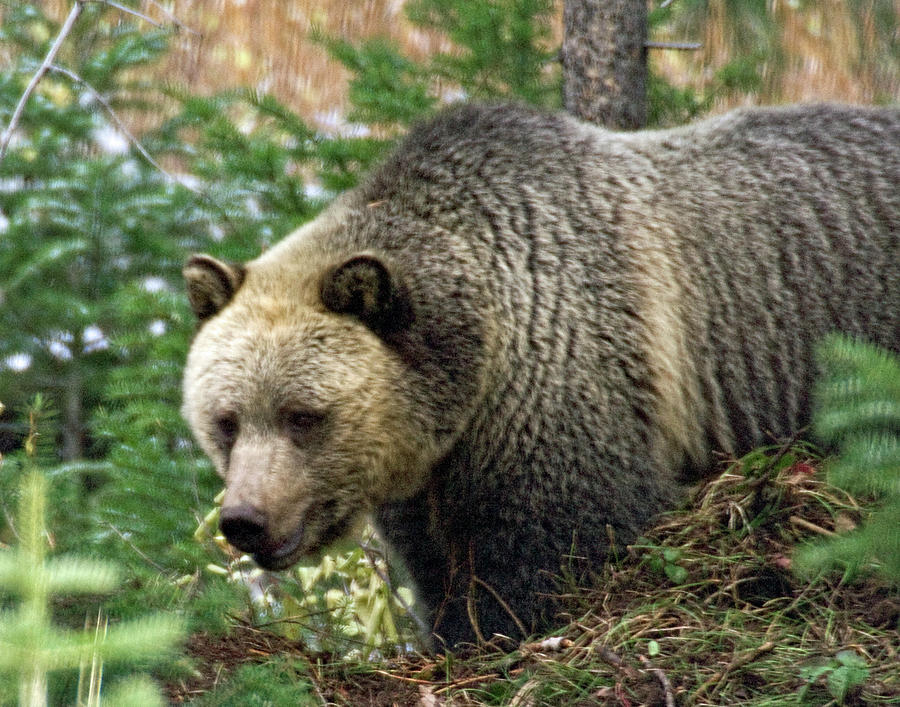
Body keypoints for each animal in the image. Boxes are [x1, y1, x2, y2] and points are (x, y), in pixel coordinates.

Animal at [185, 102, 900, 648]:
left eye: (304, 415)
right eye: (227, 421)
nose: (245, 520)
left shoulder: (564, 380)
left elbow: (552, 552)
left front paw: (502, 633)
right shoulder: (426, 478)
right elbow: (438, 568)